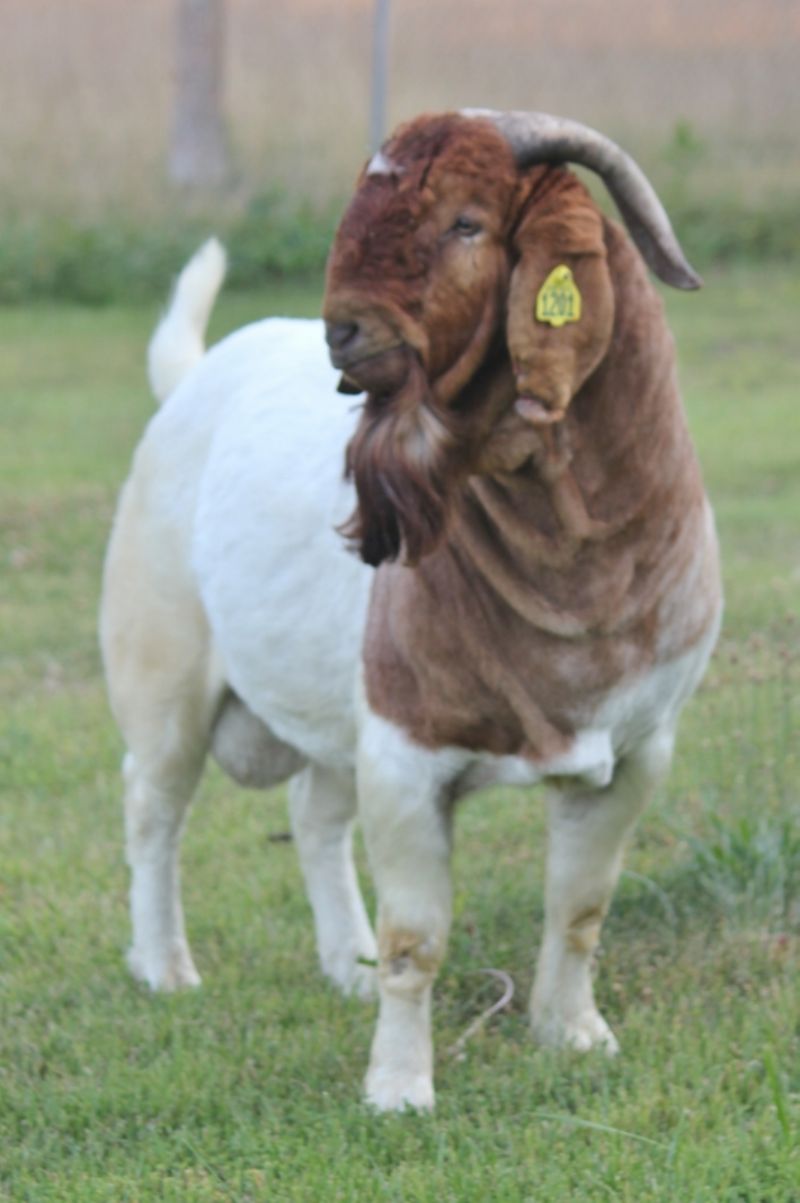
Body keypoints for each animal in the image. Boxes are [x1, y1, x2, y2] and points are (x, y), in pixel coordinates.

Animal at [99, 110, 716, 1106]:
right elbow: (417, 939)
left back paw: (342, 965)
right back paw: (165, 968)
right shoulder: (404, 750)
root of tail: (190, 378)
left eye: (467, 222)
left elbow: (580, 907)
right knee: (153, 806)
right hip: (162, 672)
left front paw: (574, 1034)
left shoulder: (638, 749)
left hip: (327, 701)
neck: (570, 565)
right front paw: (397, 1089)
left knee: (312, 810)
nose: (342, 331)